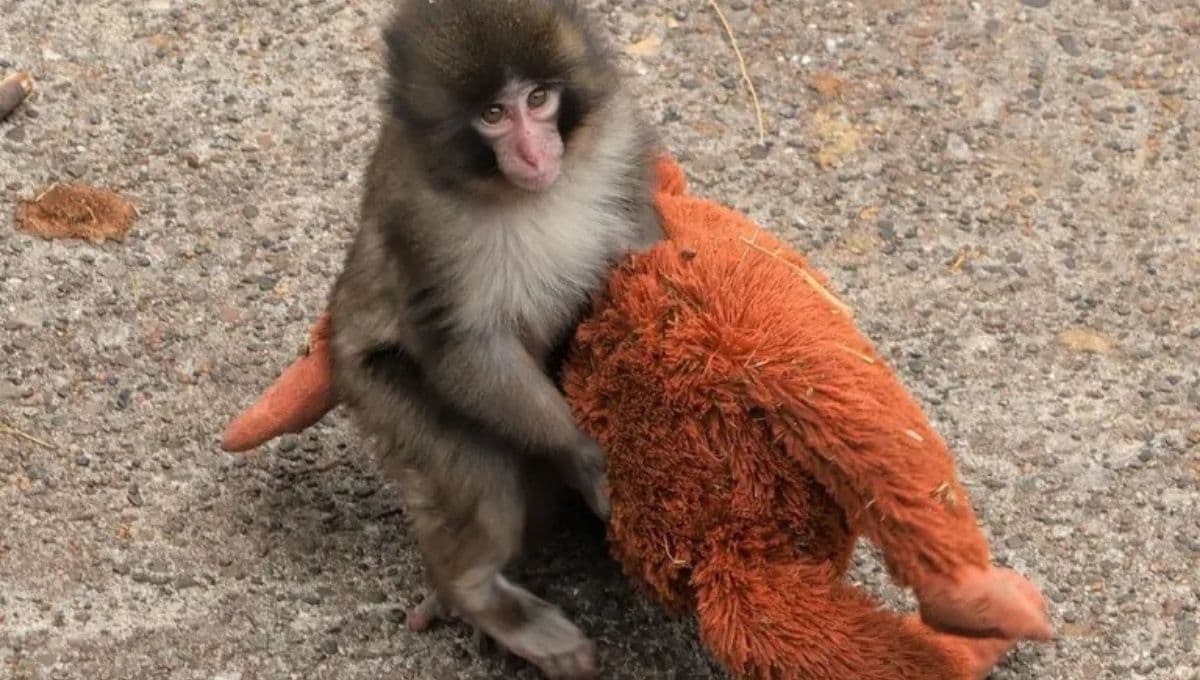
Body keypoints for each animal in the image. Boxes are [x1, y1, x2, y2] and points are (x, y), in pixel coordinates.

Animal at [326, 1, 663, 677]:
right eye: (492, 115)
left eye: (537, 99)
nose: (534, 154)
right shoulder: (422, 219)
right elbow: (463, 348)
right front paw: (584, 454)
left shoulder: (616, 140)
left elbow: (642, 244)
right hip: (376, 388)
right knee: (483, 474)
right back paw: (475, 592)